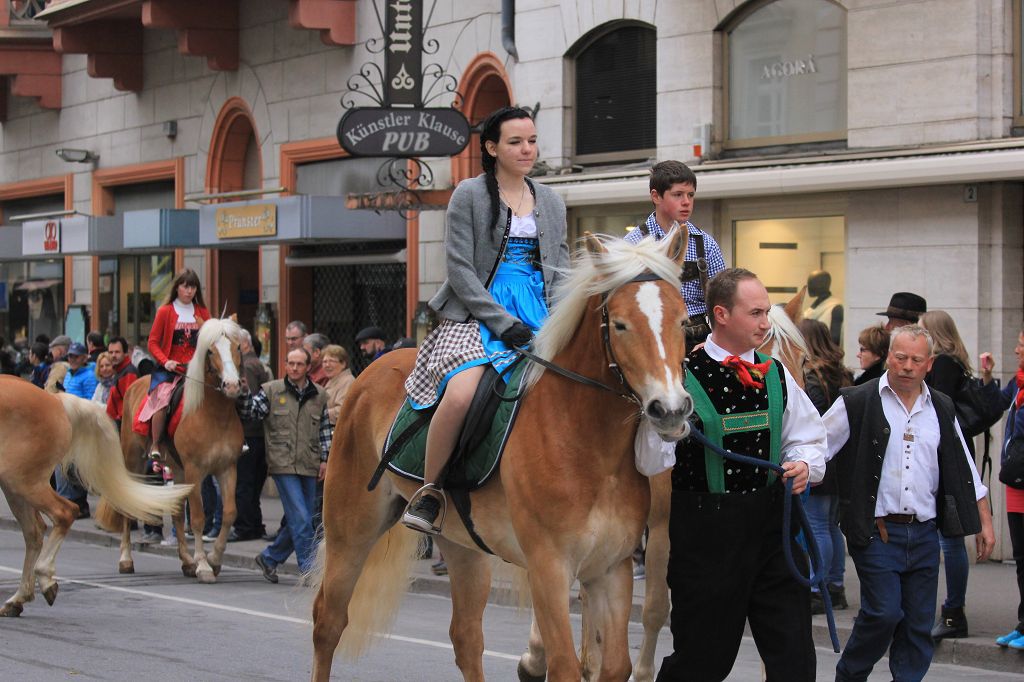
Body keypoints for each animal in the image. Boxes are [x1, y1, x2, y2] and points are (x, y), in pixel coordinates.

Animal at [0, 376, 192, 616]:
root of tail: (56, 401)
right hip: (15, 487)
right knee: (34, 532)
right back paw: (17, 599)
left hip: (24, 482)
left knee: (63, 513)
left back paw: (44, 579)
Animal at [97, 317, 244, 584]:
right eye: (210, 350)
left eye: (237, 347)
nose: (231, 385)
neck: (215, 414)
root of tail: (134, 384)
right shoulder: (195, 471)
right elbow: (197, 517)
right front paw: (204, 566)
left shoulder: (227, 468)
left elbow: (228, 513)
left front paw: (214, 559)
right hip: (134, 461)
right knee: (129, 506)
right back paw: (126, 559)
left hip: (177, 469)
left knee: (175, 512)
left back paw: (186, 561)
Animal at [309, 230, 693, 681]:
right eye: (620, 324)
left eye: (684, 321)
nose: (670, 409)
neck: (589, 444)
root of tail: (370, 368)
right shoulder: (549, 568)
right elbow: (565, 665)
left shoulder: (611, 568)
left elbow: (615, 665)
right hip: (351, 527)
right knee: (328, 621)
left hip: (460, 542)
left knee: (466, 638)